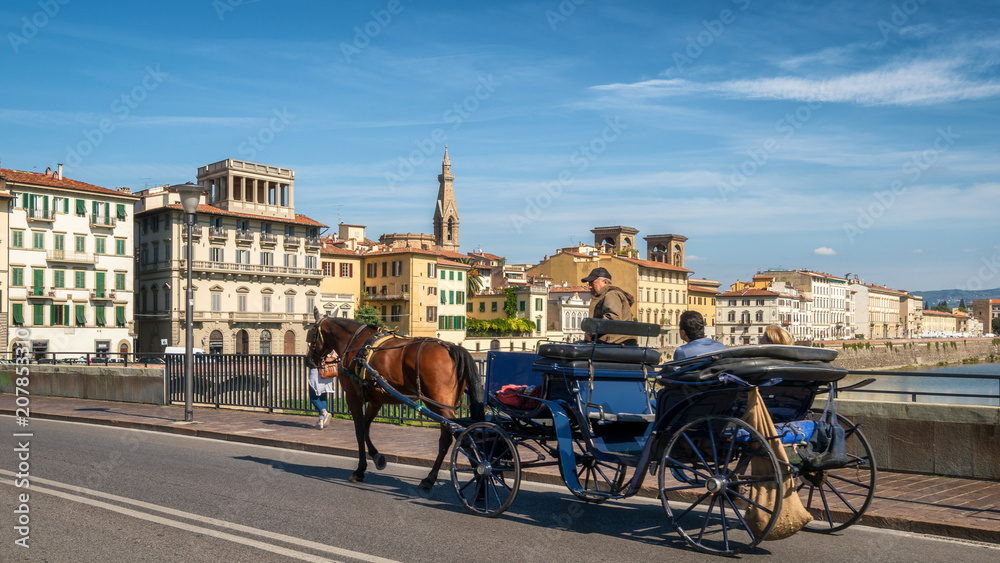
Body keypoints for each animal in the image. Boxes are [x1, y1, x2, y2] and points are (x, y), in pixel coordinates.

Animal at [304, 318, 484, 490]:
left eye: (310, 337)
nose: (308, 361)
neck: (355, 342)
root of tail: (451, 348)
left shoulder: (353, 397)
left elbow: (360, 432)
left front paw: (360, 470)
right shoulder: (376, 400)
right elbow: (366, 428)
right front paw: (377, 457)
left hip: (440, 406)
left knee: (464, 437)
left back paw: (479, 476)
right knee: (449, 440)